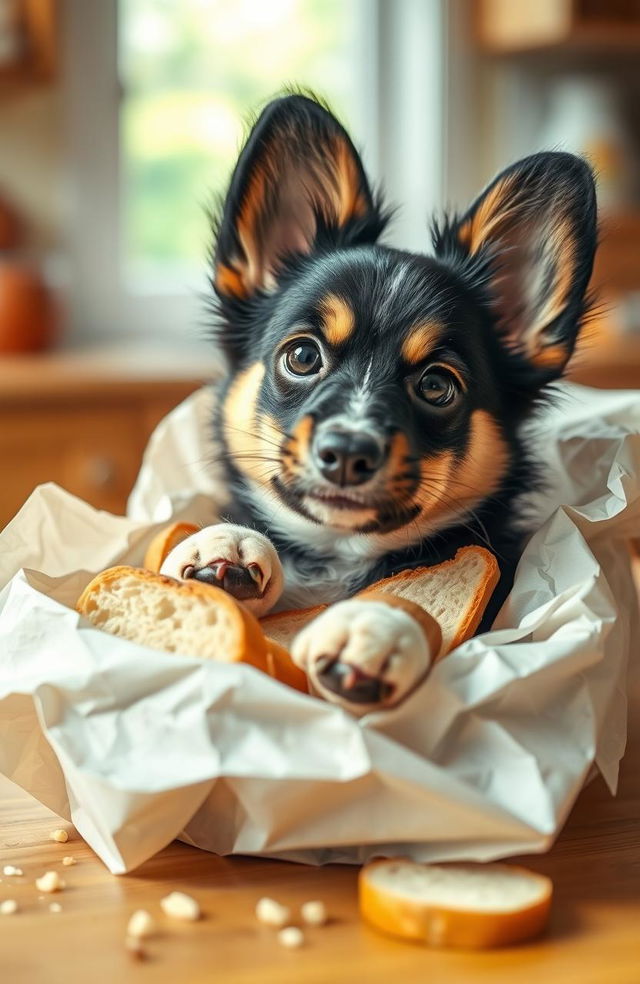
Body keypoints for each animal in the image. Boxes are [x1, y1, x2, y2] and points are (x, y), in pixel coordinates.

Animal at [159, 92, 596, 716]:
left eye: (437, 386)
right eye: (302, 356)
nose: (346, 452)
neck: (340, 552)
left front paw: (378, 626)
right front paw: (225, 542)